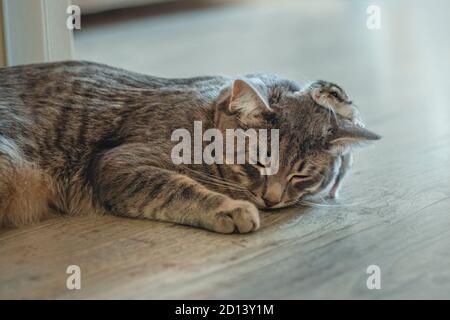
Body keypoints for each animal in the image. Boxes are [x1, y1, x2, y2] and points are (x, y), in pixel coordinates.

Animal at [0, 61, 380, 234]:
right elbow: (177, 188)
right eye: (258, 162)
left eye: (301, 175)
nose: (272, 200)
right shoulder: (118, 163)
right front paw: (229, 208)